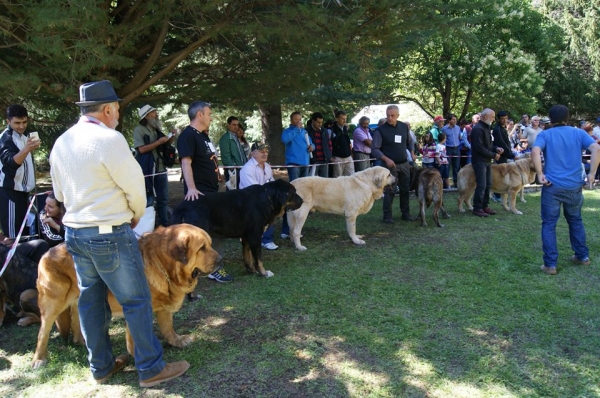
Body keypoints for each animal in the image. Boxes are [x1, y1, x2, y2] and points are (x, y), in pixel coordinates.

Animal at [30, 225, 218, 368]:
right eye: (202, 248)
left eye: (210, 244)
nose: (220, 259)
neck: (162, 263)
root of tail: (46, 254)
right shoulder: (138, 307)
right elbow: (135, 337)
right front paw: (140, 357)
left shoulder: (163, 308)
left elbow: (168, 328)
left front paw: (177, 341)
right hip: (53, 304)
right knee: (42, 333)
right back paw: (39, 359)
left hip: (80, 298)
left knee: (77, 319)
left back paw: (82, 343)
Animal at [170, 180, 302, 276]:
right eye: (293, 193)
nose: (302, 200)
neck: (267, 198)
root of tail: (181, 208)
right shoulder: (255, 237)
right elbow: (258, 259)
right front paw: (263, 273)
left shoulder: (246, 237)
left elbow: (247, 257)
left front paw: (251, 271)